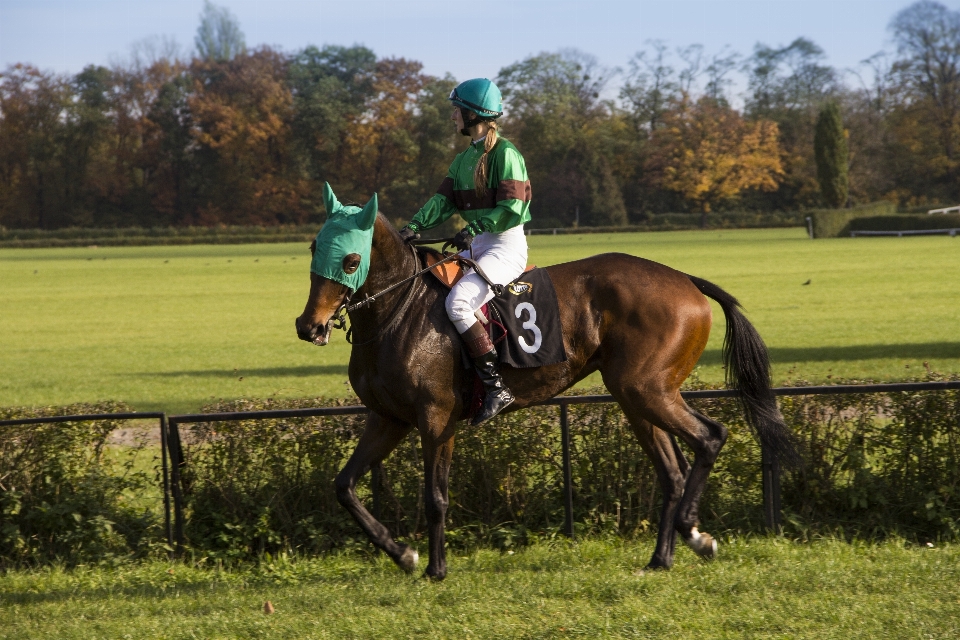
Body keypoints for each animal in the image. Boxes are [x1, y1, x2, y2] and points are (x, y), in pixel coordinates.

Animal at [296, 185, 792, 580]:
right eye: (314, 247)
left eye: (351, 259)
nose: (308, 326)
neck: (399, 311)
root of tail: (686, 280)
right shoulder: (388, 418)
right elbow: (344, 487)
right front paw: (402, 554)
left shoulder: (436, 419)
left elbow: (435, 496)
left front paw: (436, 568)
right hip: (634, 397)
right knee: (671, 471)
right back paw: (660, 558)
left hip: (648, 390)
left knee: (710, 436)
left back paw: (694, 533)